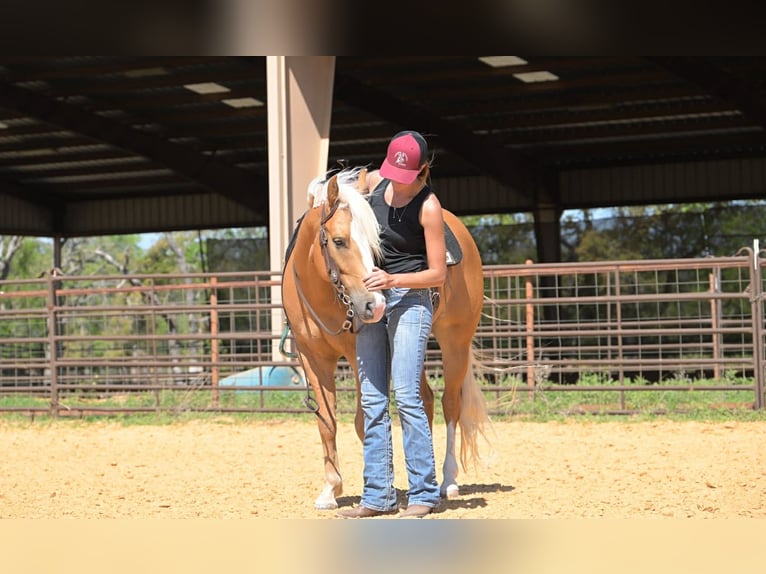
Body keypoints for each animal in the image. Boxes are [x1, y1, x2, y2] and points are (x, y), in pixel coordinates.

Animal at [281, 166, 490, 510]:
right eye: (339, 241)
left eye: (375, 243)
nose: (374, 304)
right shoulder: (312, 358)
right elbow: (327, 421)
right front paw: (330, 490)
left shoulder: (359, 358)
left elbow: (363, 421)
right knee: (424, 399)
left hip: (455, 341)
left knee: (450, 404)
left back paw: (447, 481)